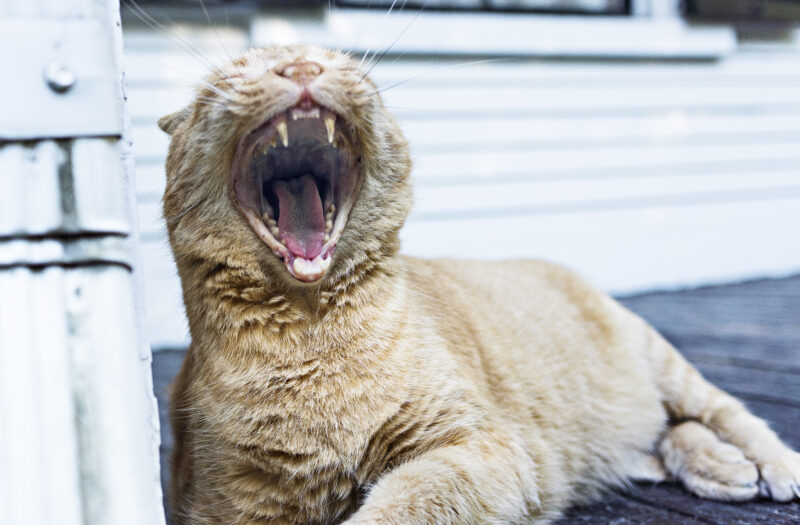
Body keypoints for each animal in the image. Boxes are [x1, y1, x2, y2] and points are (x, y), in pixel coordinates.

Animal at [158, 46, 800, 524]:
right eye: (234, 73)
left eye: (339, 62)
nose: (300, 68)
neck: (313, 340)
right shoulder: (236, 504)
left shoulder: (478, 448)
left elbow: (396, 507)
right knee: (664, 435)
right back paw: (720, 467)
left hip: (663, 362)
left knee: (725, 412)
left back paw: (770, 466)